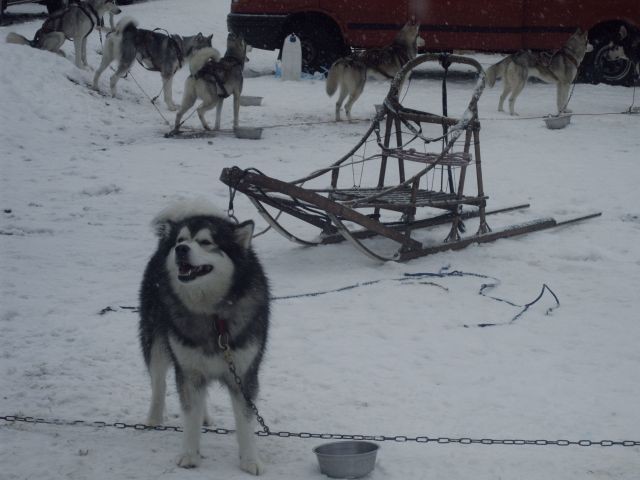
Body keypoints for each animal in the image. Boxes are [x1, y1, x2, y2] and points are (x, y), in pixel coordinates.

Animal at [140, 198, 270, 472]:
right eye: (181, 240)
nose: (181, 249)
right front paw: (190, 455)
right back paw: (154, 418)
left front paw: (250, 460)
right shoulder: (188, 370)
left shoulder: (243, 372)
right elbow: (189, 415)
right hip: (156, 340)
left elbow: (245, 423)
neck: (213, 314)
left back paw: (205, 416)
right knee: (159, 382)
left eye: (206, 242)